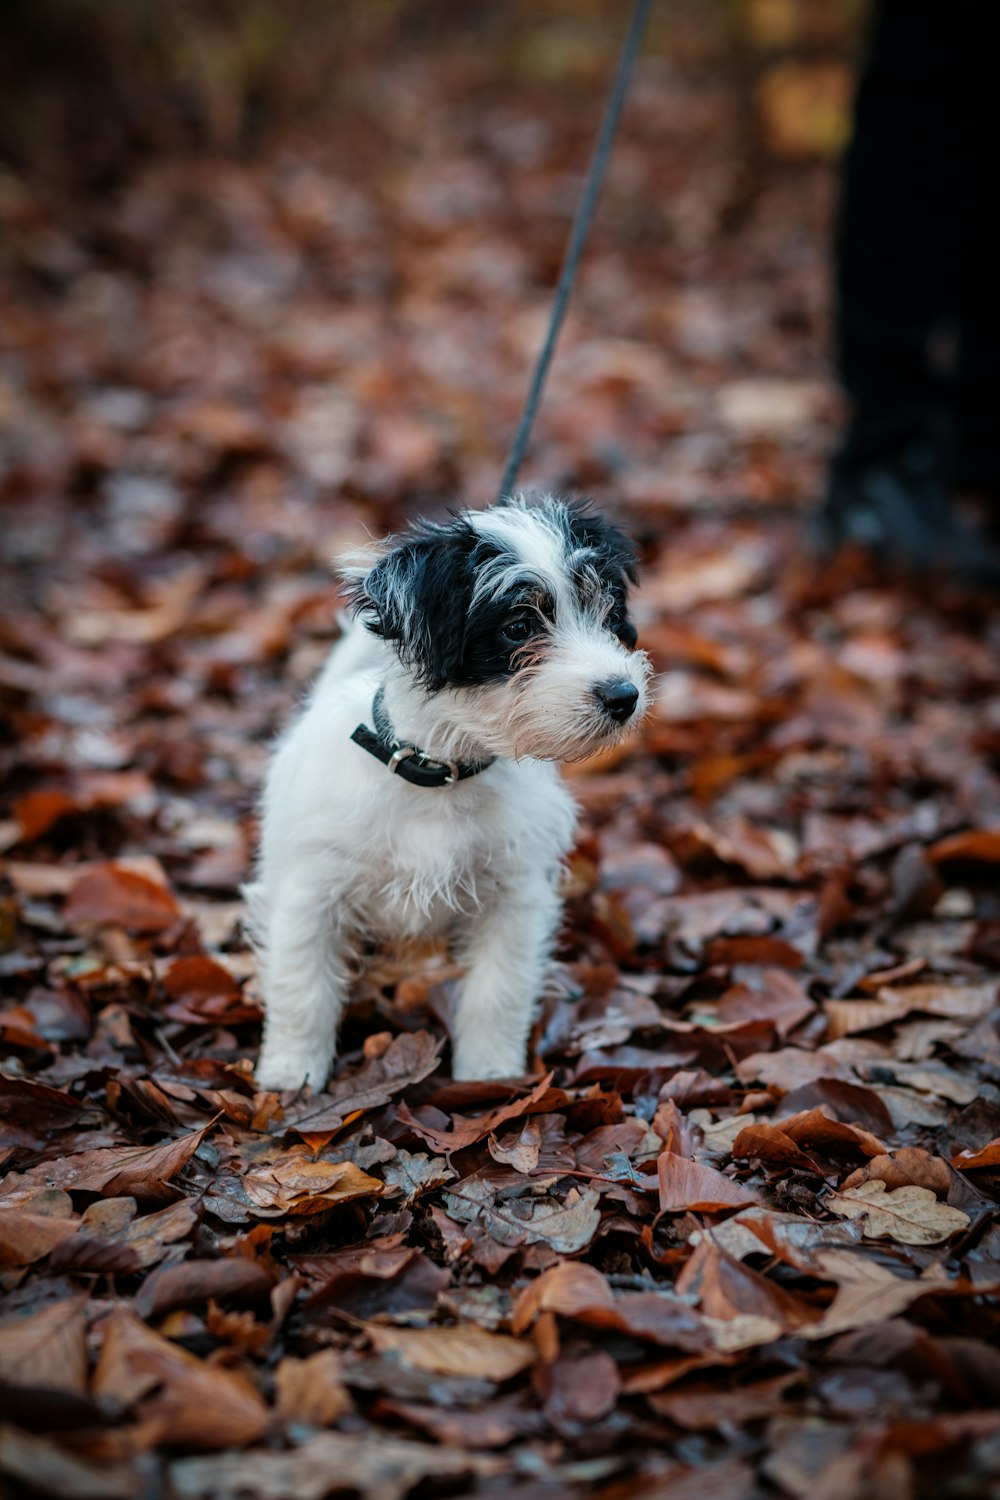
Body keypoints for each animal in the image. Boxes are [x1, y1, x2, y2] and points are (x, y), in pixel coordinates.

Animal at [247, 495, 653, 1092]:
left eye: (606, 612)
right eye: (517, 626)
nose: (625, 696)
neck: (440, 772)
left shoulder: (514, 897)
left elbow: (498, 990)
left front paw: (488, 1072)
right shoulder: (311, 894)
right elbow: (303, 988)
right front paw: (290, 1074)